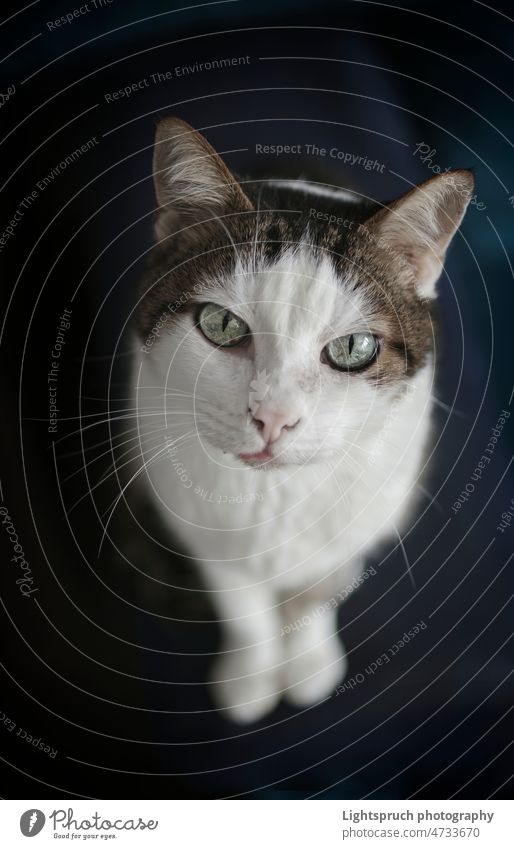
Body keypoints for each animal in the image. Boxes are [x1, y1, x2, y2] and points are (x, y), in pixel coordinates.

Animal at [133, 116, 472, 720]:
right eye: (221, 324)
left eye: (353, 348)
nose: (273, 417)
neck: (276, 497)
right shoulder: (196, 525)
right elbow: (242, 606)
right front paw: (251, 677)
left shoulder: (361, 518)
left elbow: (319, 590)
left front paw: (310, 664)